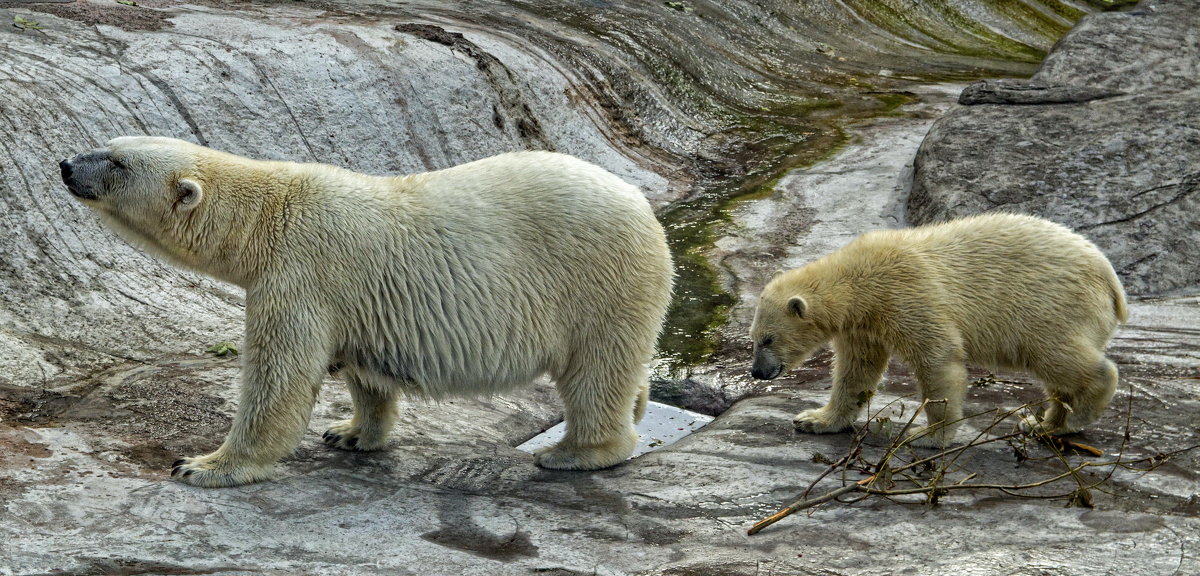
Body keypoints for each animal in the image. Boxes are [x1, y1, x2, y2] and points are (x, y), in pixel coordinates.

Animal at [58, 137, 676, 487]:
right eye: (107, 141)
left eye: (116, 162)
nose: (64, 164)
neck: (269, 215)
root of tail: (642, 206)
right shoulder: (354, 297)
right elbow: (364, 371)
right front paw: (351, 432)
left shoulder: (302, 272)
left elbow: (279, 377)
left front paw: (205, 465)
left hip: (599, 279)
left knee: (595, 370)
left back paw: (574, 453)